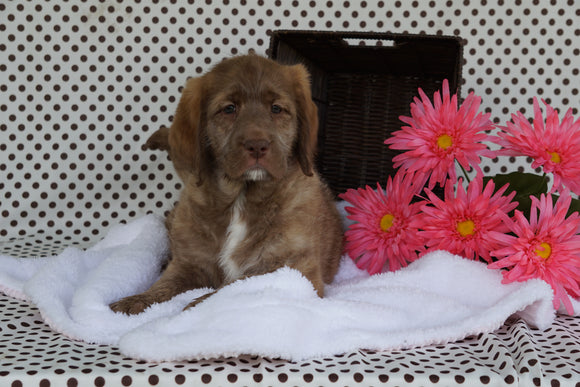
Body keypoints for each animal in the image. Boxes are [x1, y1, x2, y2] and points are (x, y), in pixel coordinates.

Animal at [109, 54, 344, 316]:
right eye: (229, 109)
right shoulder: (189, 263)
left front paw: (197, 304)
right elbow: (164, 285)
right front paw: (135, 300)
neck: (241, 196)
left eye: (276, 109)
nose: (257, 145)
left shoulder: (296, 268)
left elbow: (235, 284)